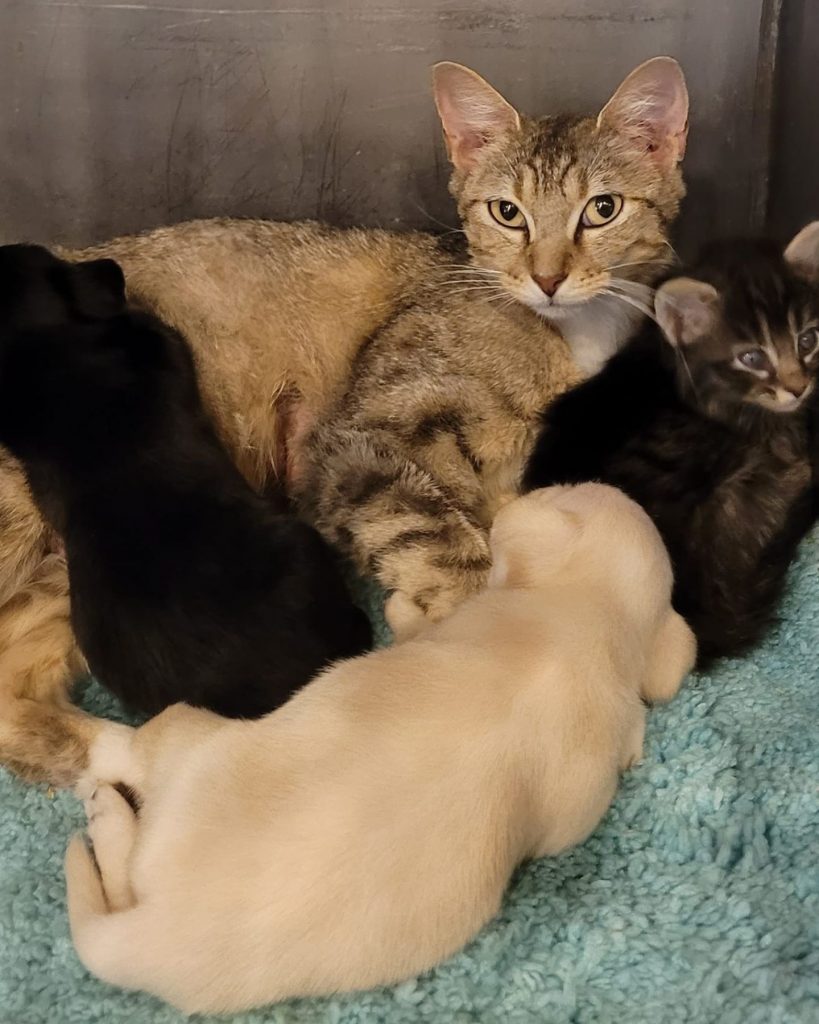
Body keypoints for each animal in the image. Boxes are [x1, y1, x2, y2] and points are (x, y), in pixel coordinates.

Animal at [63, 483, 696, 1011]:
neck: (592, 616)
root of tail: (163, 936)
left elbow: (415, 626)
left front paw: (398, 605)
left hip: (189, 734)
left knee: (132, 800)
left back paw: (103, 793)